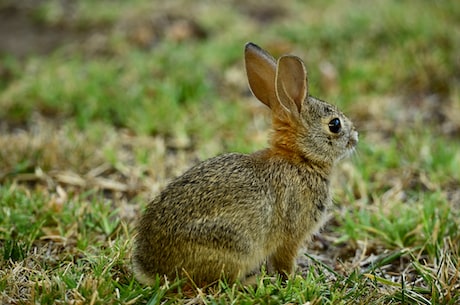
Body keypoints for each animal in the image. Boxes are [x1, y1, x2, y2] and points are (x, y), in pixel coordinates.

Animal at [131, 41, 358, 286]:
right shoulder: (291, 236)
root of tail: (150, 269)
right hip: (234, 245)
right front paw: (293, 279)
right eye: (334, 125)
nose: (355, 138)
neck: (300, 158)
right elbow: (285, 261)